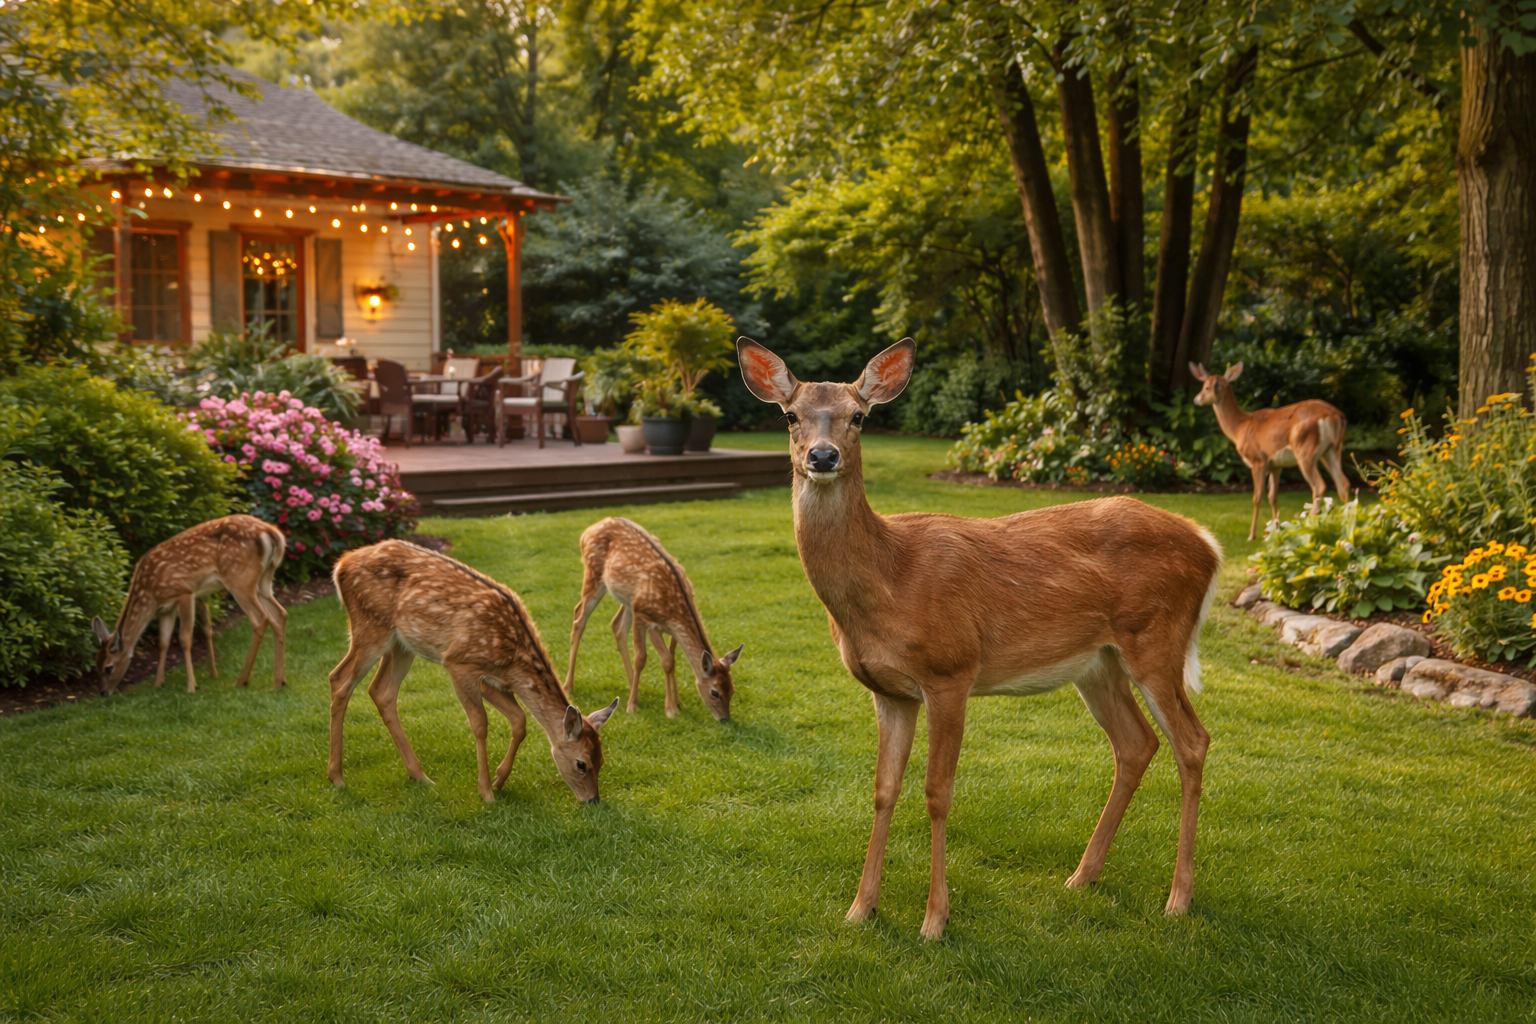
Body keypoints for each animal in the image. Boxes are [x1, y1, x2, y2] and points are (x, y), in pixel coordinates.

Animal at [92, 514, 288, 695]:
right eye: (96, 665)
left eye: (109, 667)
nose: (103, 693)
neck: (150, 595)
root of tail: (272, 533)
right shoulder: (166, 608)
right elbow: (163, 642)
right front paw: (157, 683)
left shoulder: (184, 591)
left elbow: (184, 639)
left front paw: (191, 686)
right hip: (263, 581)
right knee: (280, 613)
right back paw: (279, 682)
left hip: (239, 579)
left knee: (261, 618)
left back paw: (241, 681)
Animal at [328, 539, 619, 803]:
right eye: (581, 764)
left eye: (602, 760)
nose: (593, 800)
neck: (512, 659)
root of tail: (340, 565)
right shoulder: (459, 663)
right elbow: (480, 724)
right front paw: (486, 792)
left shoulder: (495, 680)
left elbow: (520, 721)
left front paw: (499, 779)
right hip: (370, 626)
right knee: (339, 679)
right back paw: (336, 777)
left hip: (402, 644)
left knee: (381, 691)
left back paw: (420, 776)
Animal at [565, 517, 743, 722]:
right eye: (715, 692)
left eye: (732, 690)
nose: (725, 719)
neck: (673, 608)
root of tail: (589, 529)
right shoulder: (645, 618)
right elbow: (643, 658)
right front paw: (638, 707)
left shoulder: (664, 626)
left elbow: (670, 659)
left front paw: (676, 704)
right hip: (594, 575)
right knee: (579, 617)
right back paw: (569, 686)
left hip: (628, 599)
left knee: (616, 626)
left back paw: (632, 685)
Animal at [739, 337, 1223, 940]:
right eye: (790, 415)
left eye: (858, 416)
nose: (822, 457)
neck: (890, 578)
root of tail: (1209, 544)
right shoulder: (889, 692)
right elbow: (882, 790)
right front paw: (860, 908)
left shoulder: (950, 671)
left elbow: (937, 792)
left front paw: (934, 920)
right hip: (1098, 663)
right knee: (1137, 744)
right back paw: (1082, 877)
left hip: (1156, 639)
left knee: (1192, 741)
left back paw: (1179, 898)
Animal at [1190, 362, 1351, 541]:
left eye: (1206, 387)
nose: (1196, 399)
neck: (1240, 427)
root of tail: (1337, 415)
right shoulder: (1276, 465)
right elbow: (1273, 496)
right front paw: (1274, 530)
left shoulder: (1258, 460)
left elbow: (1257, 497)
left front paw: (1252, 535)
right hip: (1332, 450)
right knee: (1343, 483)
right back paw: (1347, 526)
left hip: (1305, 449)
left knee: (1319, 486)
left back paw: (1314, 527)